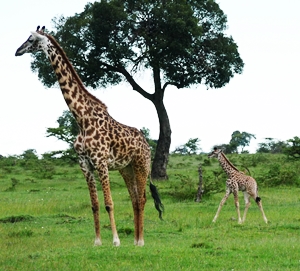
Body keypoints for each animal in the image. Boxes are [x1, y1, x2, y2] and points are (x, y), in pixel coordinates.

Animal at [15, 26, 163, 248]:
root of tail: (146, 143)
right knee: (135, 198)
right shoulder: (84, 164)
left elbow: (109, 203)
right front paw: (97, 241)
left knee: (143, 198)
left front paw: (116, 241)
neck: (82, 119)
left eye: (31, 39)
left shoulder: (101, 162)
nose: (18, 51)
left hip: (141, 164)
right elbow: (94, 205)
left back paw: (141, 241)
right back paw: (136, 240)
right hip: (126, 168)